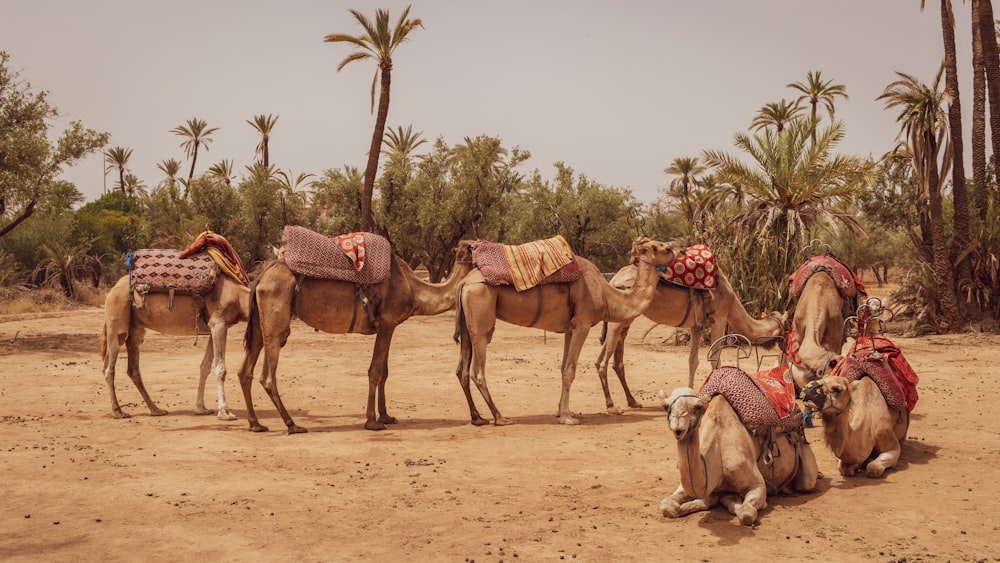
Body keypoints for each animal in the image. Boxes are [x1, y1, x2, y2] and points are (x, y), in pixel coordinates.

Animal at [99, 270, 252, 420]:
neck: (238, 296)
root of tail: (112, 290)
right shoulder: (219, 323)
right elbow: (220, 369)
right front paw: (225, 413)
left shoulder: (213, 328)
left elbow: (205, 367)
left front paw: (201, 409)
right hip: (117, 320)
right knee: (109, 368)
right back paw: (119, 412)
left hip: (135, 329)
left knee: (133, 369)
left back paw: (156, 410)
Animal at [236, 240, 474, 434]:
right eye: (474, 247)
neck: (414, 289)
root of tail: (261, 277)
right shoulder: (387, 322)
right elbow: (375, 372)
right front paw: (373, 422)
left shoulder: (388, 326)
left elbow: (385, 372)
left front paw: (386, 416)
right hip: (275, 322)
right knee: (267, 375)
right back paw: (292, 424)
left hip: (259, 323)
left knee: (244, 371)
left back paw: (256, 424)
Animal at [452, 238, 680, 428]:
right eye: (662, 248)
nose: (678, 250)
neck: (607, 296)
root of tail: (464, 283)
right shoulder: (582, 324)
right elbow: (570, 369)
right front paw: (568, 418)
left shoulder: (569, 329)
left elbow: (563, 368)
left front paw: (561, 411)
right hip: (481, 316)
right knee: (478, 371)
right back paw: (499, 417)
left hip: (467, 324)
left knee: (462, 370)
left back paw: (478, 418)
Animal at [588, 268, 784, 410]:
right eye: (785, 325)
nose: (784, 345)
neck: (732, 302)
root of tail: (613, 280)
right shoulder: (720, 318)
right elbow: (715, 359)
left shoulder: (696, 326)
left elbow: (693, 360)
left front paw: (690, 395)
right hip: (620, 318)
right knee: (604, 361)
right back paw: (611, 406)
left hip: (624, 318)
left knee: (610, 359)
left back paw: (633, 401)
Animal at [656, 386, 820, 528]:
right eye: (665, 406)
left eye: (697, 407)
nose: (678, 425)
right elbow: (667, 505)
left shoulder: (757, 485)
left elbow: (746, 513)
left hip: (807, 467)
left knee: (807, 483)